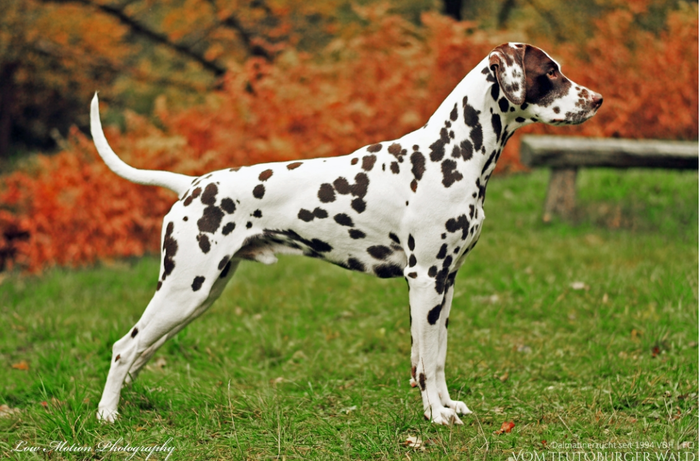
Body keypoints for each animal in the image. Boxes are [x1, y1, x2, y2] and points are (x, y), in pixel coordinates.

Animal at [89, 44, 600, 424]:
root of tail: (192, 184)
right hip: (184, 290)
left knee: (139, 351)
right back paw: (107, 416)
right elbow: (426, 362)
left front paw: (448, 406)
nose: (597, 99)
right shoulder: (425, 280)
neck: (450, 154)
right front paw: (436, 415)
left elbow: (434, 358)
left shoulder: (445, 282)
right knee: (123, 347)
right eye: (550, 72)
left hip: (199, 295)